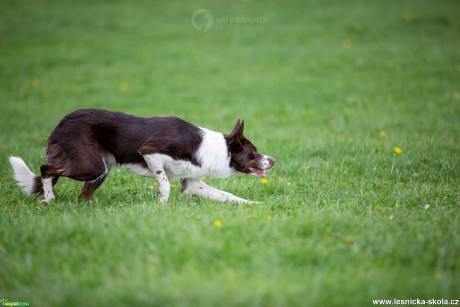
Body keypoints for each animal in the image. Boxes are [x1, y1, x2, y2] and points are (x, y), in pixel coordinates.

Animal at [8, 109, 274, 206]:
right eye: (254, 153)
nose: (273, 160)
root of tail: (63, 121)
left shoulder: (192, 182)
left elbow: (228, 195)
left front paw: (254, 205)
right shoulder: (150, 151)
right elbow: (164, 183)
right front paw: (161, 206)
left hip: (101, 168)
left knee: (82, 194)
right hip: (90, 165)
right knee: (46, 168)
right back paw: (48, 198)